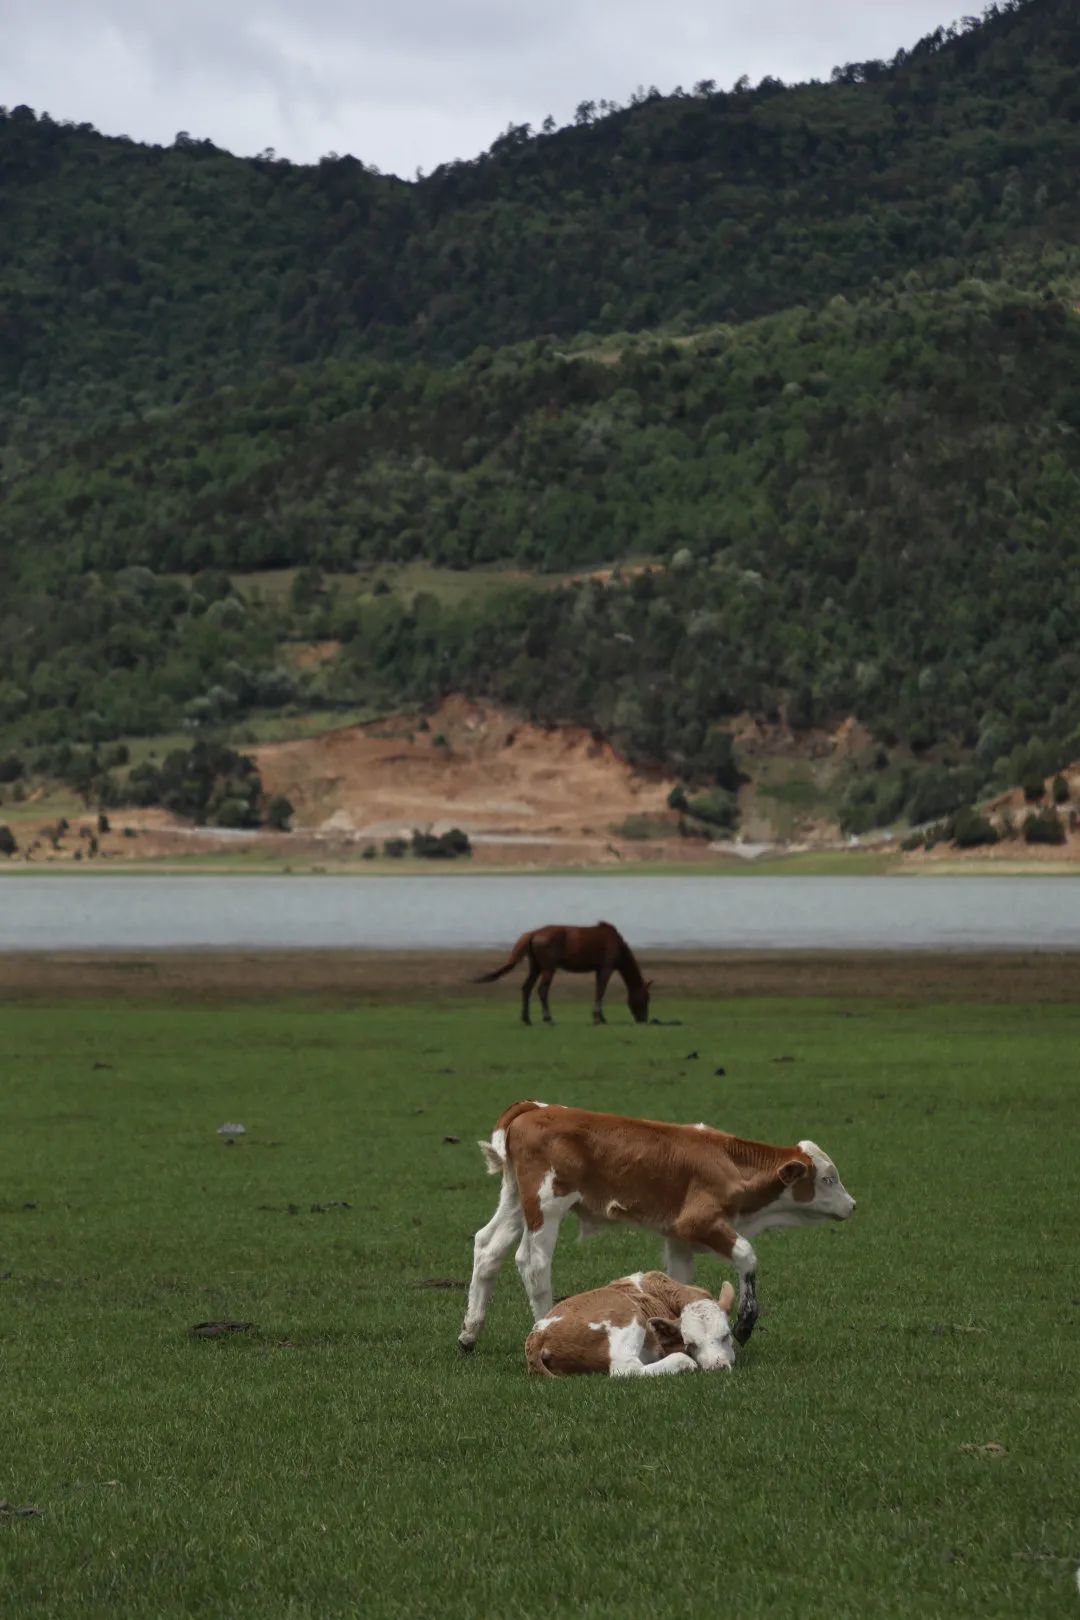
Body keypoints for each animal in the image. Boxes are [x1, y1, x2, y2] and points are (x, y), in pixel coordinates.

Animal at [458, 1100, 856, 1354]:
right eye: (828, 1178)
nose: (852, 1206)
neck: (728, 1161)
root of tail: (534, 1108)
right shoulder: (698, 1221)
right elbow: (747, 1256)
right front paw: (744, 1323)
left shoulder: (677, 1236)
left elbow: (681, 1283)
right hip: (546, 1204)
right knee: (533, 1262)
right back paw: (545, 1323)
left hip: (515, 1200)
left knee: (487, 1247)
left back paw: (469, 1334)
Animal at [473, 921, 652, 1026]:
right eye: (646, 998)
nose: (643, 1019)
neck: (619, 946)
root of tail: (533, 934)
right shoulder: (606, 968)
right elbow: (600, 991)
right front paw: (598, 1018)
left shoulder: (599, 969)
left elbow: (598, 991)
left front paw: (600, 1017)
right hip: (548, 968)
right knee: (542, 990)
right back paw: (548, 1018)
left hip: (536, 967)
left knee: (526, 988)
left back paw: (527, 1019)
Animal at [525, 1270, 737, 1378]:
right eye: (690, 1343)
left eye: (726, 1335)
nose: (717, 1368)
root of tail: (539, 1334)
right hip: (628, 1316)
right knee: (626, 1369)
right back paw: (684, 1363)